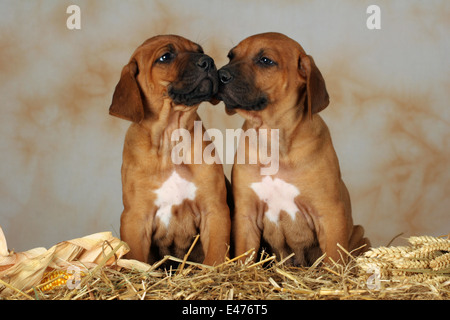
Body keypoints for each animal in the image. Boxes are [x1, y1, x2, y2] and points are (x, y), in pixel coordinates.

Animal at [217, 32, 370, 264]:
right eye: (230, 56)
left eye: (265, 60)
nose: (220, 75)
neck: (274, 137)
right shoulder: (246, 215)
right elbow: (244, 257)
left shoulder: (329, 213)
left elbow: (334, 258)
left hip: (361, 236)